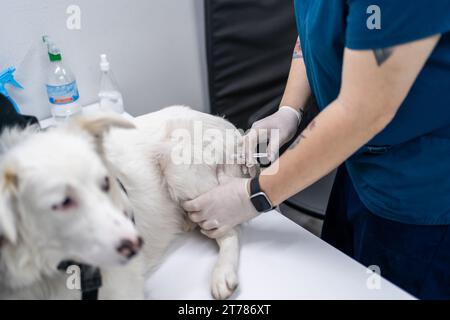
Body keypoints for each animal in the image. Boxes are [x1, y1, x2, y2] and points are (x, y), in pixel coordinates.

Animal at [0, 106, 246, 298]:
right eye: (63, 202)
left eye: (105, 183)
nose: (135, 244)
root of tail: (231, 129)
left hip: (180, 169)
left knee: (229, 231)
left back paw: (222, 273)